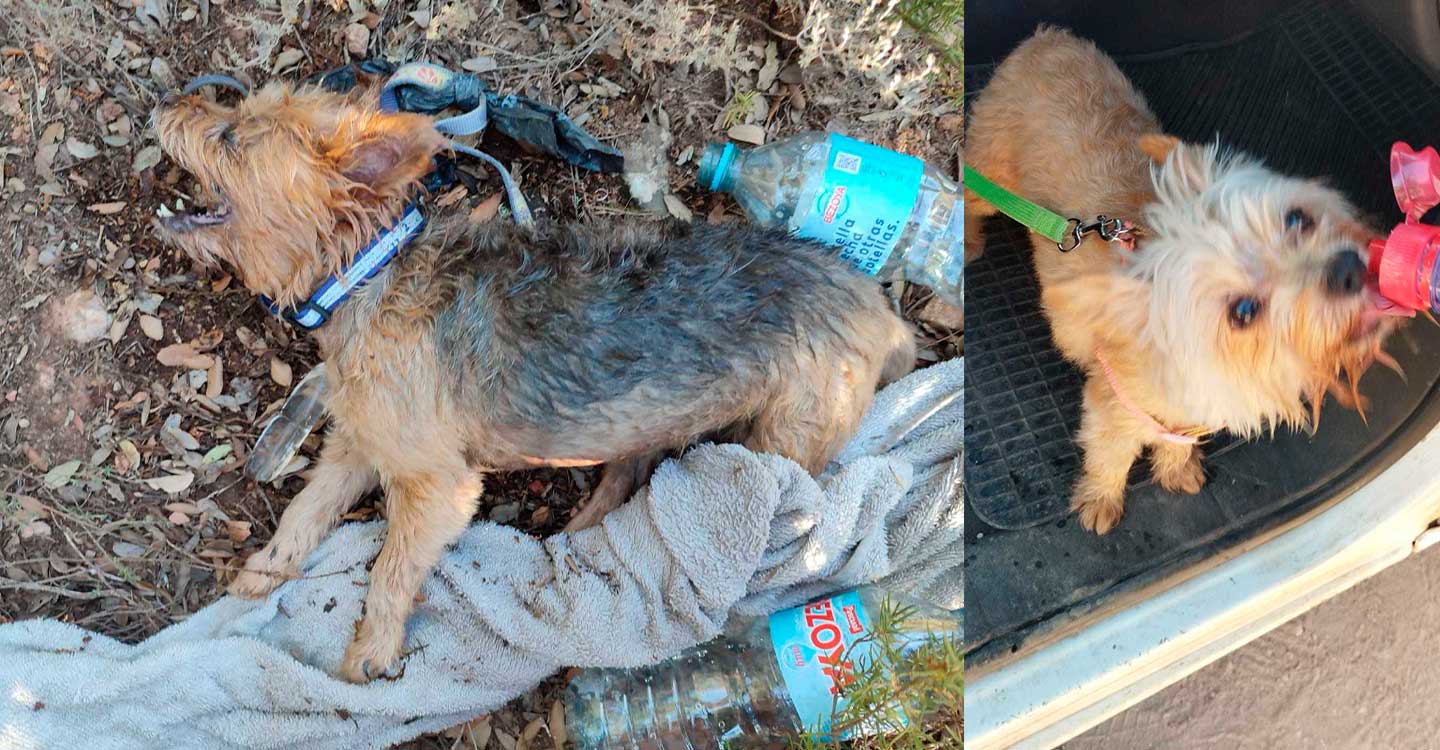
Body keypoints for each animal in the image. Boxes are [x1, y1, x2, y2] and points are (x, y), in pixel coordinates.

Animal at [146, 80, 910, 679]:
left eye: (231, 136)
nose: (165, 101)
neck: (366, 273)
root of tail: (878, 307)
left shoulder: (435, 484)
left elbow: (391, 568)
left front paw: (370, 651)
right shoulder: (358, 444)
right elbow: (305, 511)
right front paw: (262, 574)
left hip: (785, 437)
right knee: (630, 472)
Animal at [961, 29, 1399, 532]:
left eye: (1296, 218)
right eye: (1243, 312)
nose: (1348, 269)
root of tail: (1045, 36)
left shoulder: (1180, 418)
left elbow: (1177, 441)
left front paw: (1175, 468)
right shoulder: (1112, 408)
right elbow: (1110, 458)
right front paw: (1101, 498)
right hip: (990, 176)